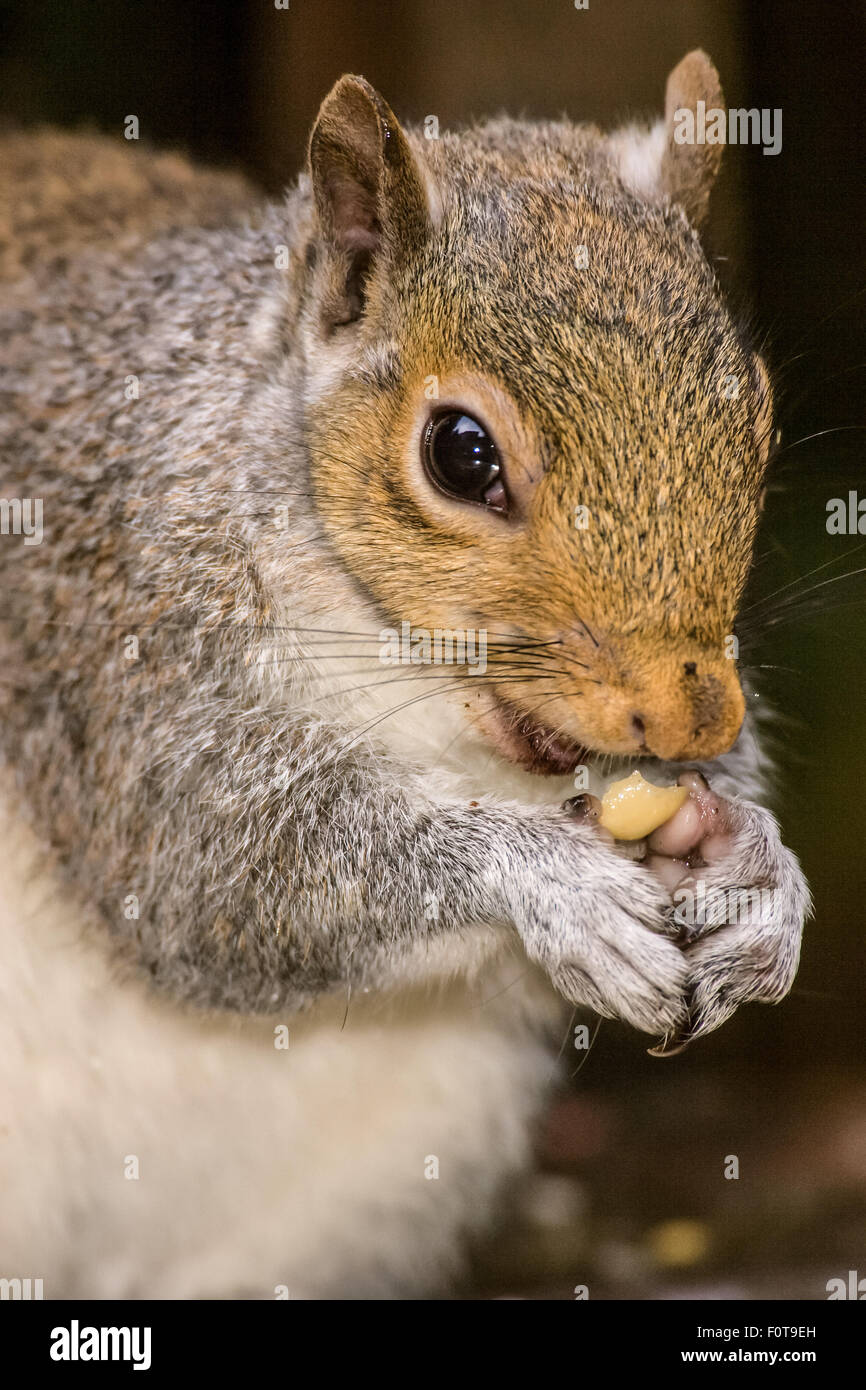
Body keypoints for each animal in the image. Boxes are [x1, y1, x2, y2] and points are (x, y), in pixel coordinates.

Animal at [0, 51, 809, 1298]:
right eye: (459, 454)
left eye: (756, 413)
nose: (690, 719)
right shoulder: (107, 641)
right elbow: (202, 875)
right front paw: (545, 882)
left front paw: (756, 870)